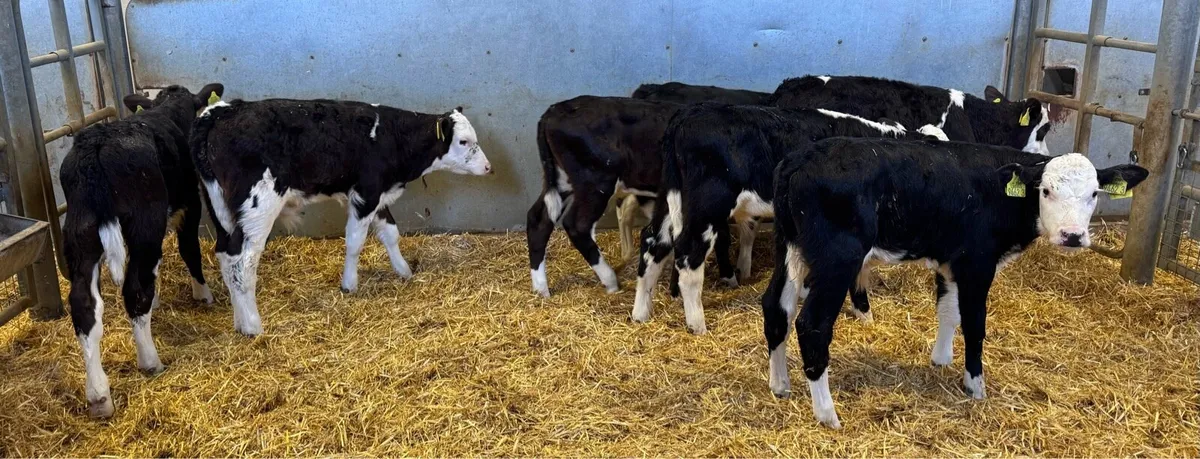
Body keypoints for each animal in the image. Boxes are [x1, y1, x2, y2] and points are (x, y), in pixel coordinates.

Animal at [59, 83, 224, 418]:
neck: (168, 111)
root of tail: (96, 147)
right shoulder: (191, 204)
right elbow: (189, 250)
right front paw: (203, 294)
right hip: (145, 222)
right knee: (135, 288)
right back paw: (150, 361)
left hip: (80, 233)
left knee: (85, 305)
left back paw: (99, 396)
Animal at [191, 99, 492, 336]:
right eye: (463, 141)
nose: (489, 167)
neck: (390, 136)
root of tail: (222, 111)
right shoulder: (366, 193)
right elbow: (355, 242)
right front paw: (349, 285)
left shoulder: (375, 195)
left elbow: (390, 233)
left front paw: (404, 270)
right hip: (258, 208)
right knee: (242, 262)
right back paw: (253, 326)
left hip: (221, 210)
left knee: (225, 257)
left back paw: (240, 322)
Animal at [528, 91, 768, 298]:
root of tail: (554, 111)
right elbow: (722, 237)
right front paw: (730, 278)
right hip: (595, 180)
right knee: (577, 225)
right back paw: (610, 280)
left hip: (562, 179)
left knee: (539, 219)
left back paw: (541, 290)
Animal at [631, 102, 948, 334]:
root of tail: (688, 113)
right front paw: (864, 314)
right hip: (707, 205)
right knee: (688, 255)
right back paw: (697, 325)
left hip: (670, 197)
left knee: (653, 242)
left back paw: (640, 313)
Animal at [763, 137, 1147, 428]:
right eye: (1047, 191)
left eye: (1094, 193)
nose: (1072, 235)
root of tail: (800, 158)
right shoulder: (977, 264)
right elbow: (975, 324)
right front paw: (974, 385)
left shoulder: (950, 262)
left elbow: (948, 312)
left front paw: (941, 360)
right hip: (837, 258)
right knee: (812, 324)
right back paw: (827, 414)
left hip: (789, 244)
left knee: (776, 307)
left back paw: (780, 385)